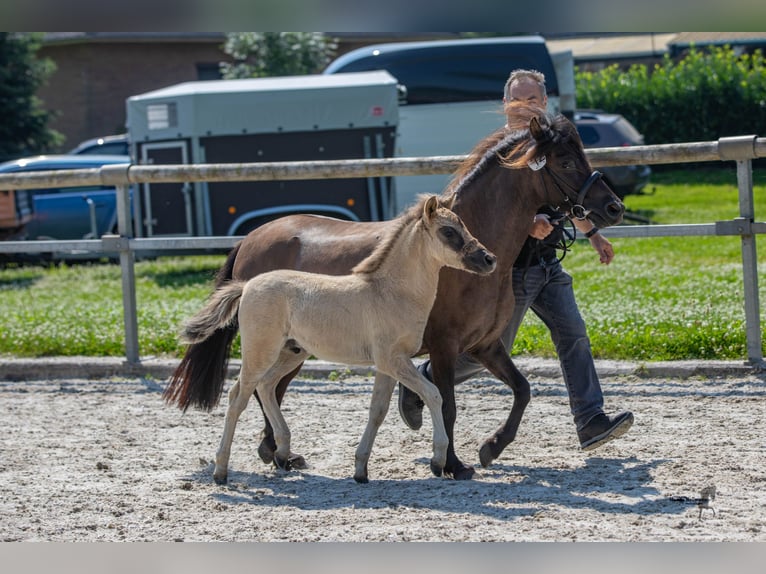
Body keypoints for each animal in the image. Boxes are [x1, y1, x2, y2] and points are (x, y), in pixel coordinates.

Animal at [175, 198, 498, 486]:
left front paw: (361, 471)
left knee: (266, 387)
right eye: (448, 232)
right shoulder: (393, 359)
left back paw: (283, 454)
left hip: (291, 352)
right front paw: (438, 461)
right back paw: (221, 471)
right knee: (238, 397)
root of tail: (246, 285)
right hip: (260, 352)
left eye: (464, 225)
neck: (390, 293)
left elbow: (377, 411)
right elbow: (434, 395)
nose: (488, 259)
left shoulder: (387, 365)